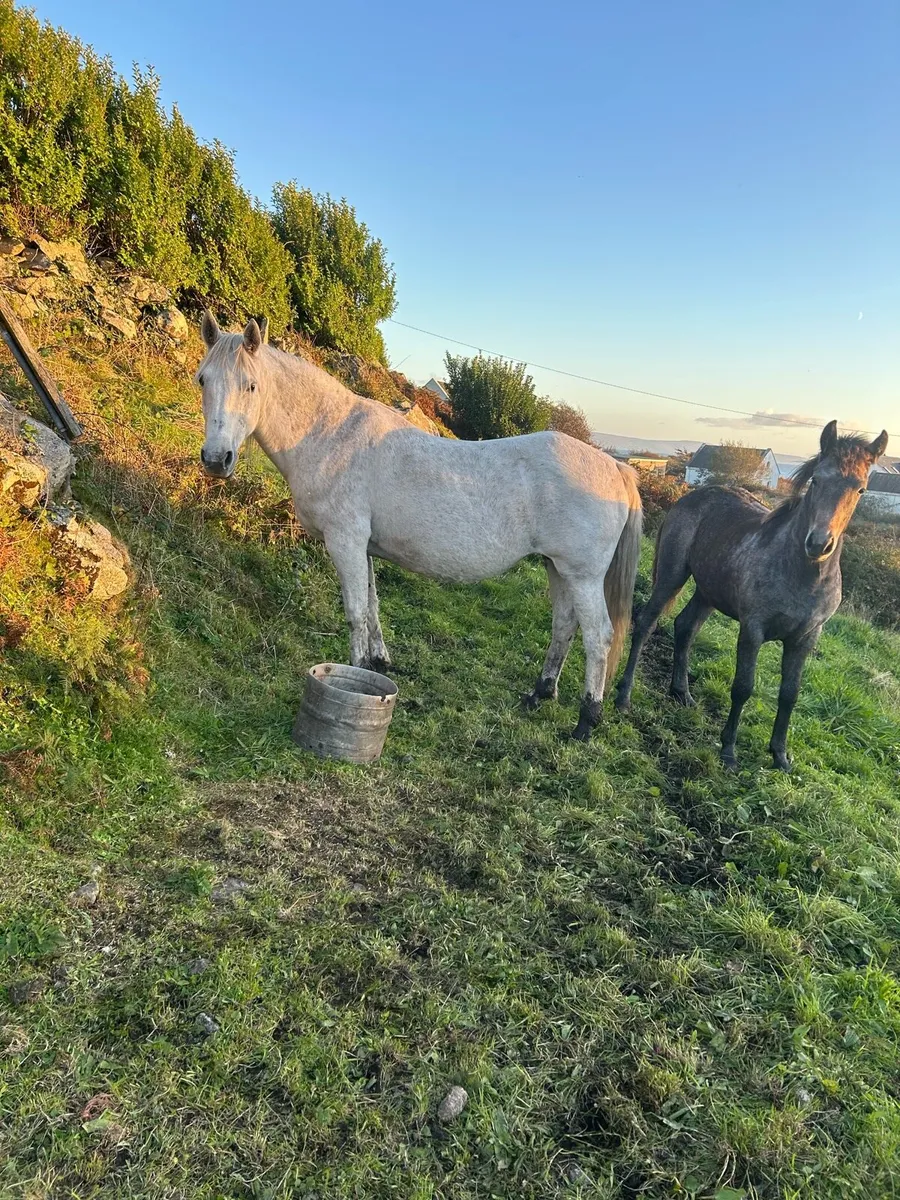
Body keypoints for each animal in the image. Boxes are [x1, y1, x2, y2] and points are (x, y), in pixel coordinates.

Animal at [195, 313, 643, 741]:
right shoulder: (364, 548)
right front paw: (378, 663)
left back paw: (586, 721)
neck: (329, 435)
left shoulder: (345, 542)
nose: (217, 460)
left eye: (251, 386)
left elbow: (355, 612)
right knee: (565, 625)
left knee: (598, 638)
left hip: (582, 576)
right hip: (557, 568)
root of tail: (615, 467)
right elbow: (372, 607)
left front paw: (357, 670)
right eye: (203, 379)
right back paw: (539, 694)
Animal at [615, 420, 888, 771]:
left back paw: (682, 693)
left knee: (685, 627)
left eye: (860, 489)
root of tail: (693, 496)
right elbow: (743, 687)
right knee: (647, 623)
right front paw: (729, 751)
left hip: (708, 592)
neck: (801, 577)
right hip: (672, 576)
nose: (818, 544)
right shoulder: (753, 629)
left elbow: (790, 693)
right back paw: (624, 695)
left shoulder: (806, 637)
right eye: (816, 480)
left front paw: (780, 756)